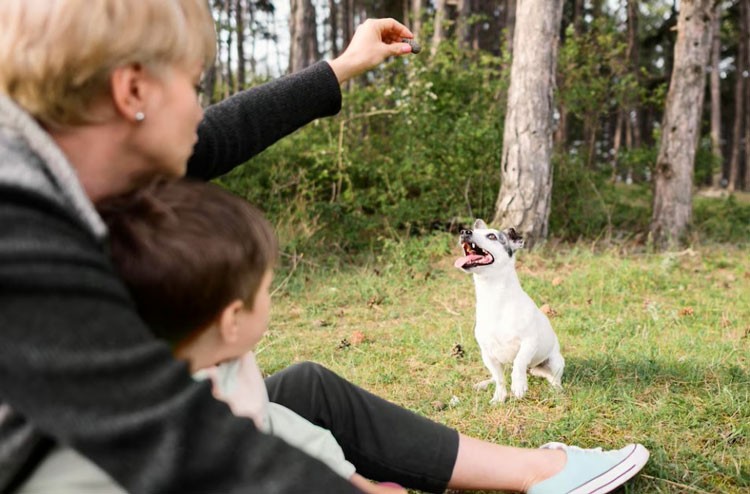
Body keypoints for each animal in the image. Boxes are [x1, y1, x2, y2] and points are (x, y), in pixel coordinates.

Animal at [452, 221, 564, 406]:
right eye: (471, 230)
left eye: (491, 236)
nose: (464, 232)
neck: (494, 296)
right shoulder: (488, 355)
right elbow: (499, 379)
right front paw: (499, 397)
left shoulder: (529, 342)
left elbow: (519, 362)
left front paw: (518, 385)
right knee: (497, 376)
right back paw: (484, 383)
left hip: (555, 361)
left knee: (553, 378)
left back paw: (556, 390)